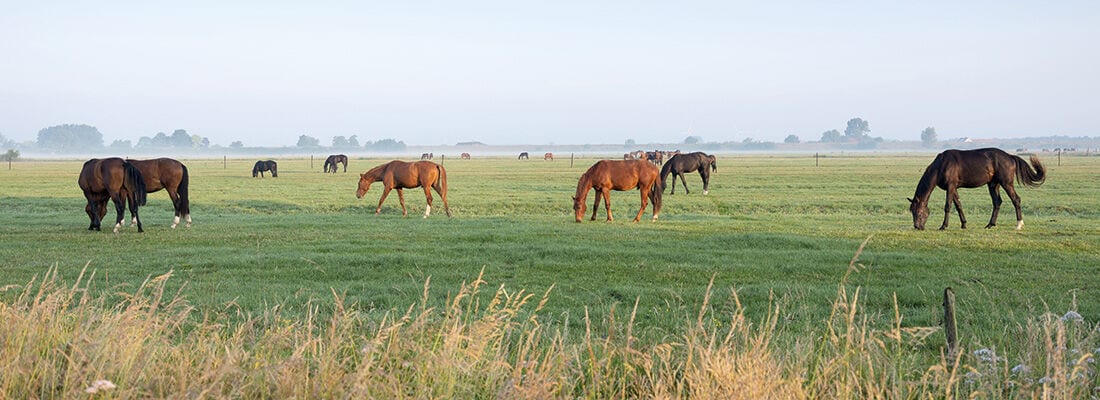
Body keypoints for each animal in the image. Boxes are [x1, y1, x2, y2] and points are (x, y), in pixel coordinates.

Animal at [909, 148, 1045, 230]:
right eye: (912, 212)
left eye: (919, 212)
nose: (917, 227)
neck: (942, 165)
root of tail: (1010, 156)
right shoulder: (954, 188)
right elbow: (958, 205)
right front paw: (963, 224)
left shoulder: (950, 187)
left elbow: (948, 206)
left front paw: (943, 226)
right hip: (993, 185)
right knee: (997, 202)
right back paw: (990, 224)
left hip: (1006, 183)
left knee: (1016, 199)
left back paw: (1019, 225)